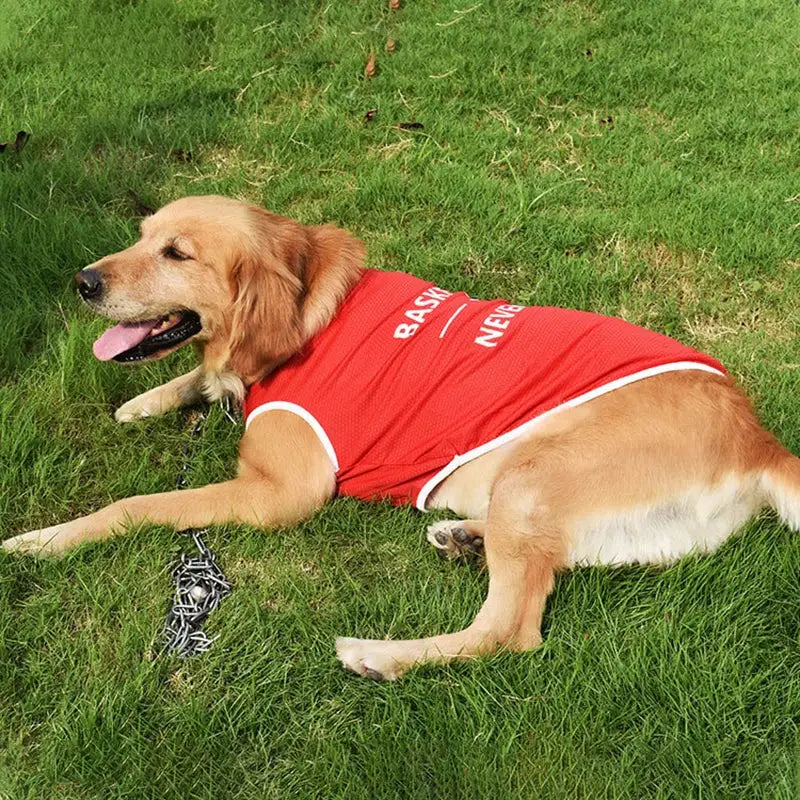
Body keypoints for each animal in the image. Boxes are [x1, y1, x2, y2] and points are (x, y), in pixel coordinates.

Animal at [3, 197, 796, 680]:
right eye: (141, 237)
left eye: (176, 253)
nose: (82, 281)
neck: (306, 310)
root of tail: (758, 438)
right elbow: (198, 376)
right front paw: (145, 401)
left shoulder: (277, 494)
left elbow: (135, 505)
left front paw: (45, 539)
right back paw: (463, 537)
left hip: (536, 472)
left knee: (508, 631)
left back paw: (379, 655)